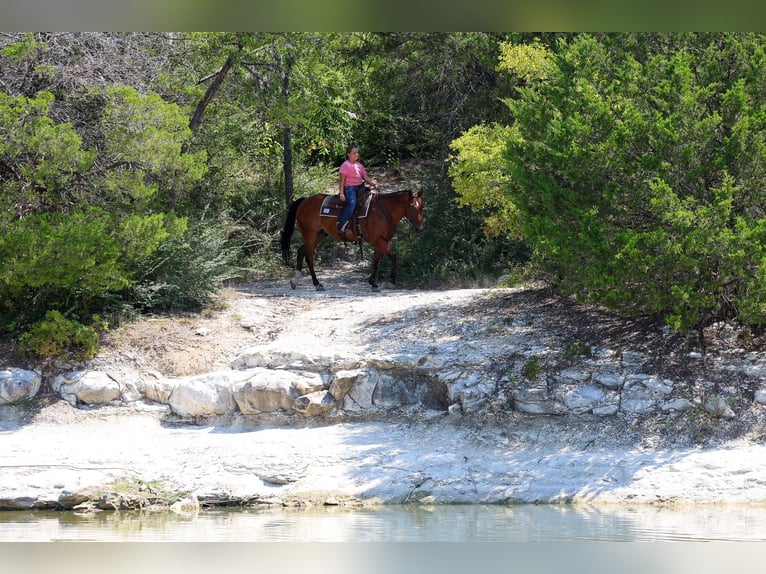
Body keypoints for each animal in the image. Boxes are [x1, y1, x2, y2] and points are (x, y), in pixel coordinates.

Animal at [280, 189, 424, 291]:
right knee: (309, 256)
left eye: (421, 207)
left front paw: (373, 283)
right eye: (412, 206)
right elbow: (393, 256)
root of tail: (305, 201)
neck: (384, 211)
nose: (419, 228)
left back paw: (295, 281)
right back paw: (317, 284)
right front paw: (391, 281)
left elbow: (376, 261)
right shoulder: (378, 240)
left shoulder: (381, 241)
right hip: (310, 234)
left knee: (301, 250)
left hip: (319, 235)